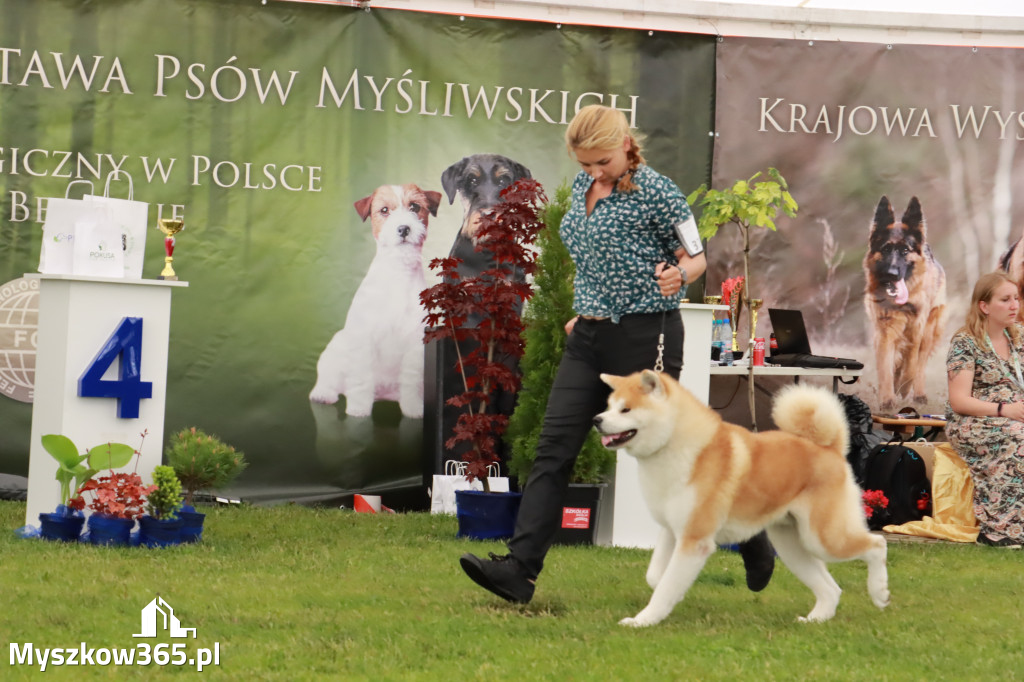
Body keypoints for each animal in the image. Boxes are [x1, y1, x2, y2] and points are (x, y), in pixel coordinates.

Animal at [593, 372, 888, 626]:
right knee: (831, 588)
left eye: (626, 409)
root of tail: (830, 449)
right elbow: (657, 577)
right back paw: (815, 619)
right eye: (608, 406)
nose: (597, 420)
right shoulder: (672, 529)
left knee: (877, 544)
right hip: (792, 545)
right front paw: (674, 594)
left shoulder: (694, 539)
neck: (680, 448)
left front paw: (643, 620)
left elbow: (665, 587)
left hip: (824, 538)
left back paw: (879, 592)